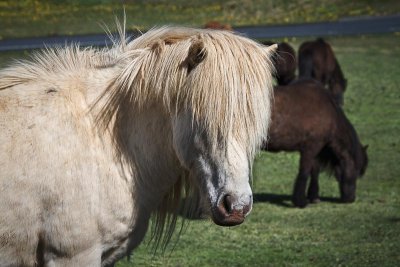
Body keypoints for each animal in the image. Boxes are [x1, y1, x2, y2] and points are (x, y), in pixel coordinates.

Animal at [262, 79, 368, 209]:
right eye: (357, 171)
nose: (351, 199)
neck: (329, 111)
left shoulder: (316, 150)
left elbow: (315, 171)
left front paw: (313, 196)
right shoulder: (310, 148)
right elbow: (304, 172)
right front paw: (300, 201)